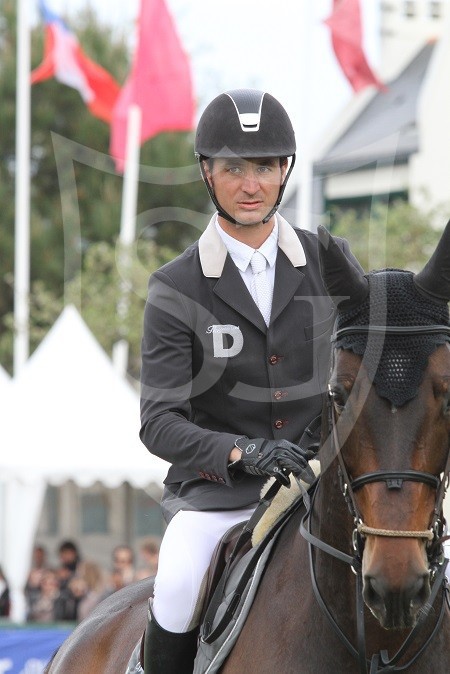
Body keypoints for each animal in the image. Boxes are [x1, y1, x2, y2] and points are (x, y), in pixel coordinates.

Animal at [44, 222, 450, 672]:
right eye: (339, 395)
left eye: (448, 392)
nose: (396, 582)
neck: (378, 644)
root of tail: (85, 626)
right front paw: (268, 458)